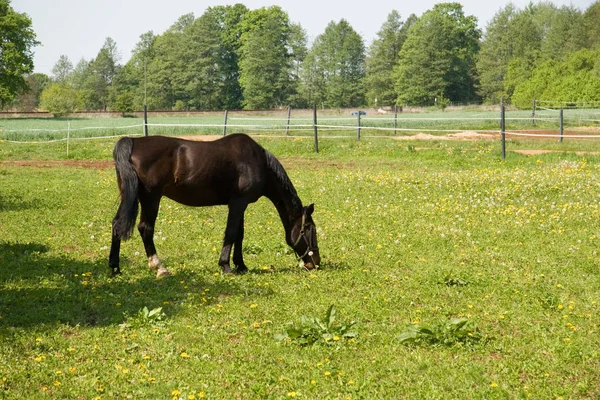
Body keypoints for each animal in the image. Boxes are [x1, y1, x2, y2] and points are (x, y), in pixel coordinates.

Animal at [109, 134, 322, 278]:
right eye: (309, 229)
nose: (315, 263)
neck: (258, 161)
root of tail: (132, 141)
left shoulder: (241, 204)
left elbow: (239, 234)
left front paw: (241, 265)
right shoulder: (238, 203)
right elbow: (231, 233)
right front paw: (226, 266)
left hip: (130, 196)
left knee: (117, 224)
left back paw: (115, 268)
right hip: (151, 198)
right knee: (145, 228)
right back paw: (159, 267)